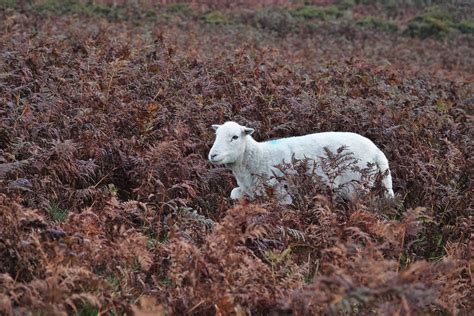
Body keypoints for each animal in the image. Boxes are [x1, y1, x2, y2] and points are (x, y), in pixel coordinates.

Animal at [209, 121, 394, 202]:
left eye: (235, 137)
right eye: (216, 135)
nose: (213, 155)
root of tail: (377, 151)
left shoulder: (281, 195)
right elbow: (233, 193)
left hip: (355, 185)